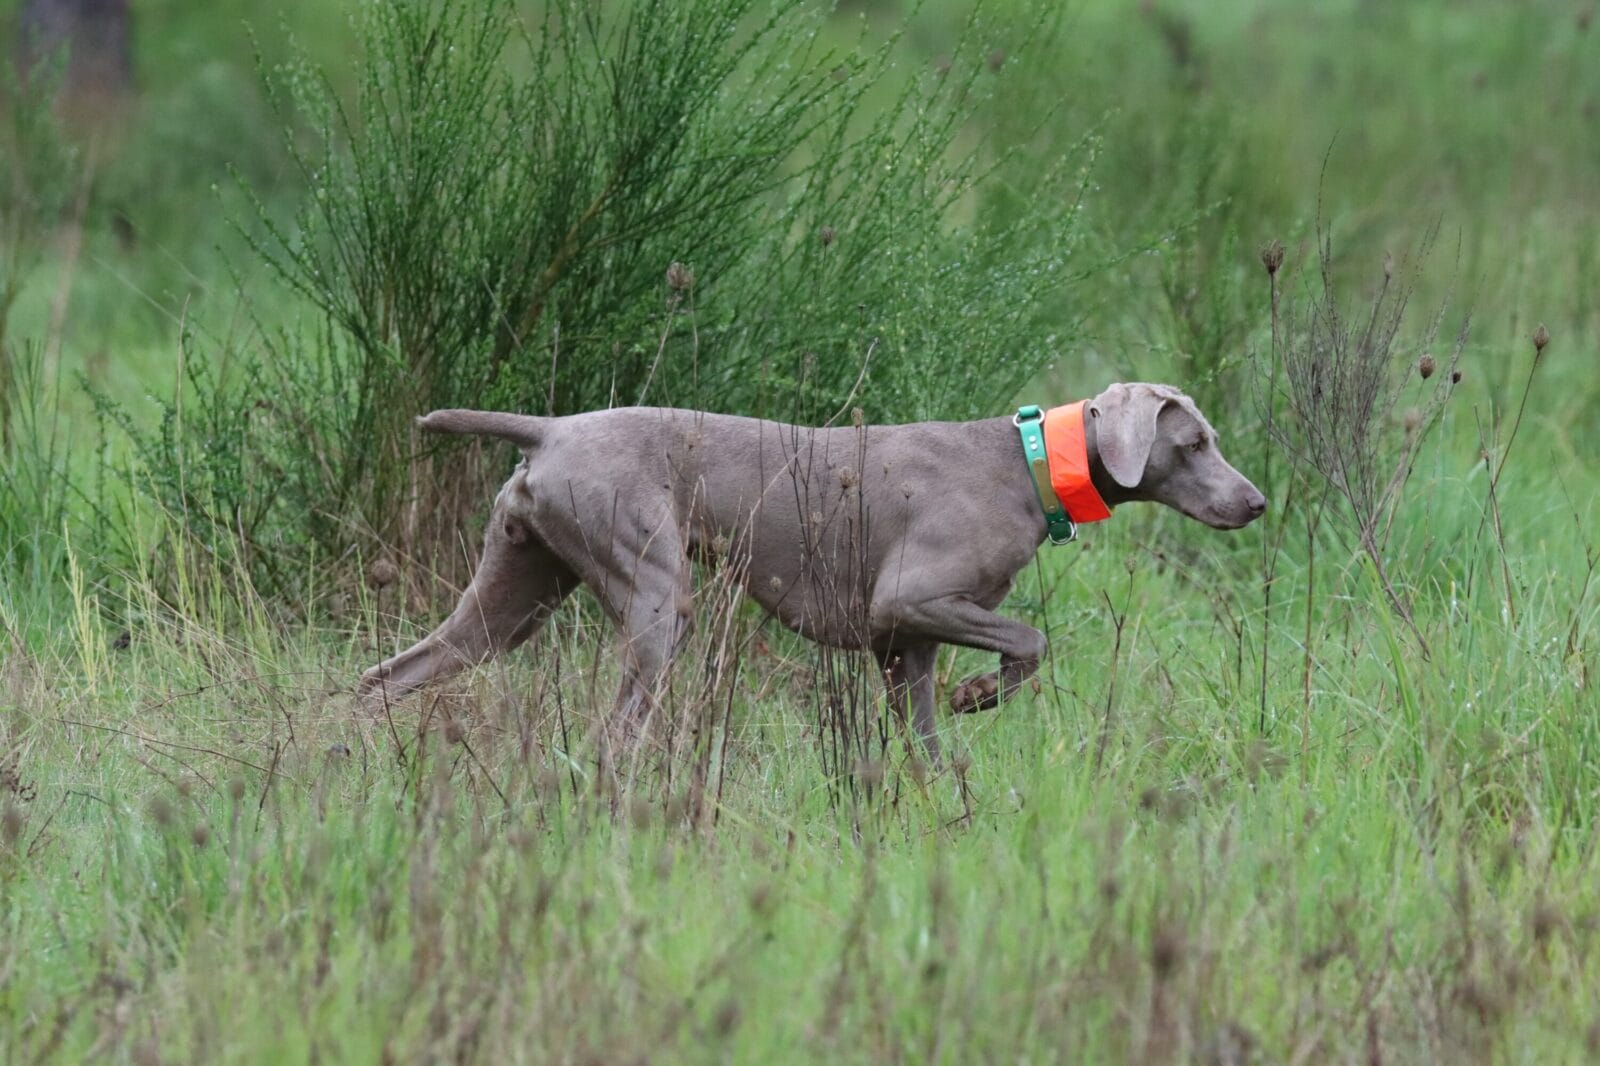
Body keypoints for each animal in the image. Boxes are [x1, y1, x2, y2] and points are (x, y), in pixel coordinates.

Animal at [360, 385, 1260, 758]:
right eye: (1194, 442)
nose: (1254, 503)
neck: (1030, 461)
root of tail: (549, 429)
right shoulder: (913, 598)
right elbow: (1029, 640)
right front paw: (980, 696)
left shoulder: (905, 651)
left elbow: (928, 748)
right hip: (654, 595)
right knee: (617, 729)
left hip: (513, 593)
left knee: (387, 677)